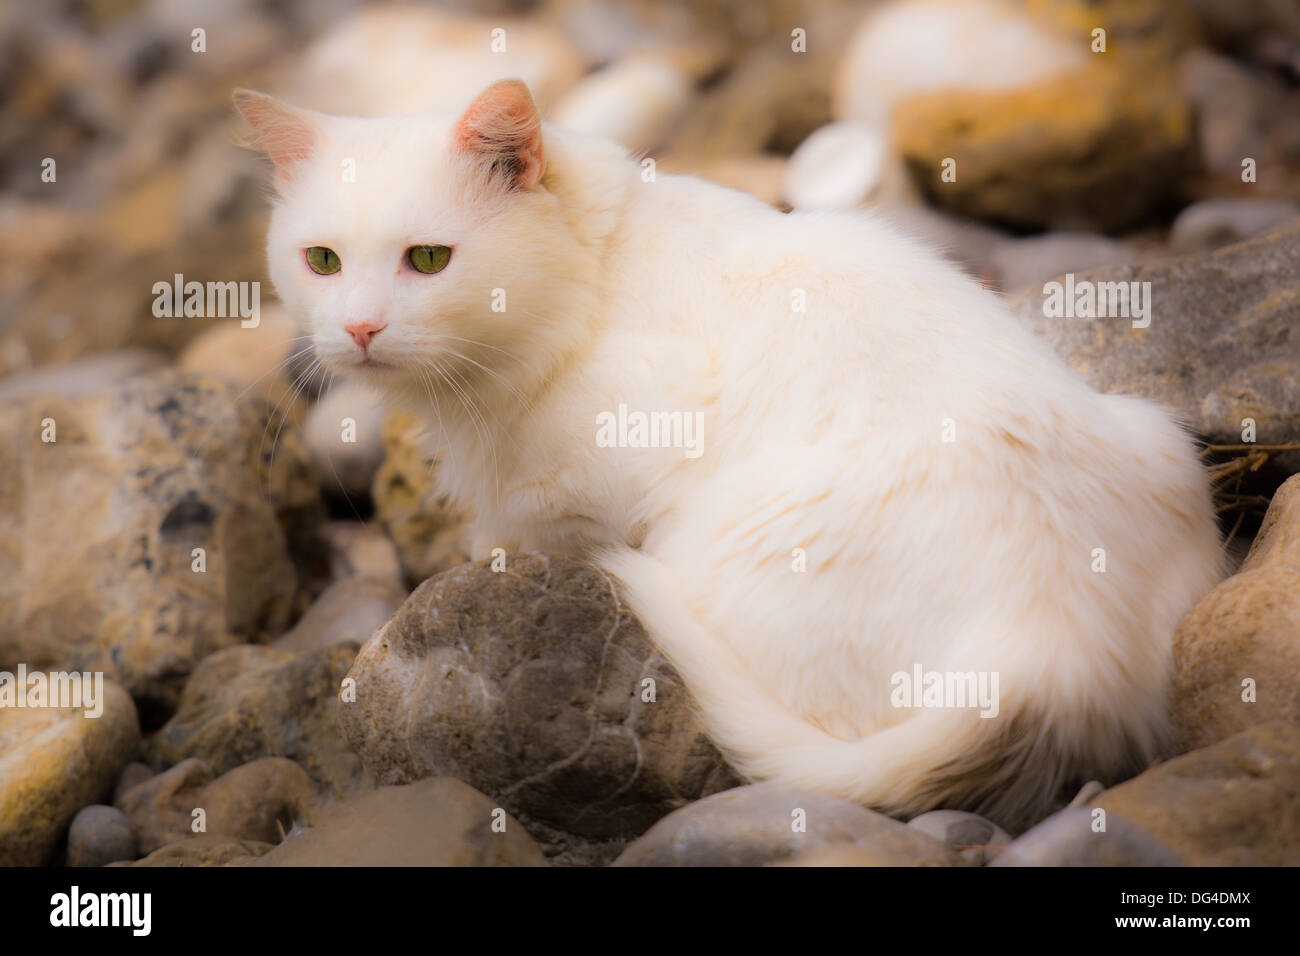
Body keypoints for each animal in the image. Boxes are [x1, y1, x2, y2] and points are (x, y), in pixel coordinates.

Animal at [239, 80, 1222, 832]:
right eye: (321, 261)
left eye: (429, 259)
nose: (360, 329)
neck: (592, 276)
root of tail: (1054, 646)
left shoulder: (628, 437)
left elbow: (534, 529)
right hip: (1154, 433)